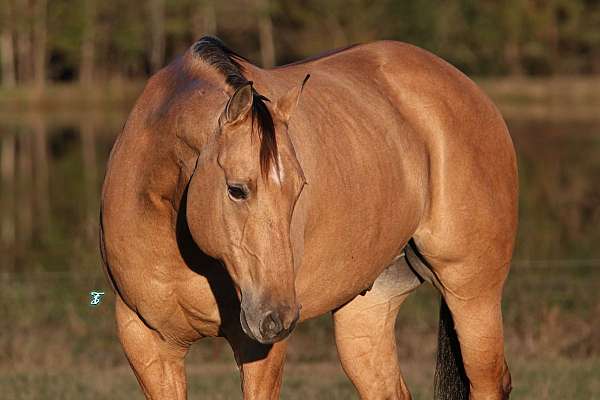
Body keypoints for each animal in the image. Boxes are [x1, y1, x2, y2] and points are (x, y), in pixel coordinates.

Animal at [99, 36, 516, 398]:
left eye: (299, 188)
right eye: (237, 189)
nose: (278, 316)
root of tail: (467, 88)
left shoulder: (257, 346)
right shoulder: (146, 341)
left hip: (472, 295)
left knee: (488, 381)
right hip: (366, 313)